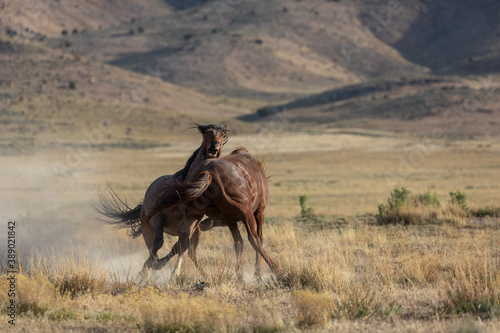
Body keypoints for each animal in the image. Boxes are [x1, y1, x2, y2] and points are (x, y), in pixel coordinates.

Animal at [95, 124, 244, 280]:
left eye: (222, 135)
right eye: (206, 133)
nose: (214, 144)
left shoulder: (191, 223)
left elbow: (181, 245)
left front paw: (168, 270)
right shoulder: (159, 219)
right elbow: (159, 244)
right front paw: (147, 270)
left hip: (195, 232)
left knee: (189, 251)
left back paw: (202, 274)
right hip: (148, 227)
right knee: (153, 247)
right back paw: (151, 270)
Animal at [146, 147, 284, 278]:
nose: (205, 224)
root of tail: (211, 173)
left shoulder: (230, 220)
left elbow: (239, 243)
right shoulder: (259, 212)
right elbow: (257, 239)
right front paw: (258, 273)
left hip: (203, 215)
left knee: (183, 241)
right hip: (245, 212)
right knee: (254, 239)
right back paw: (277, 271)